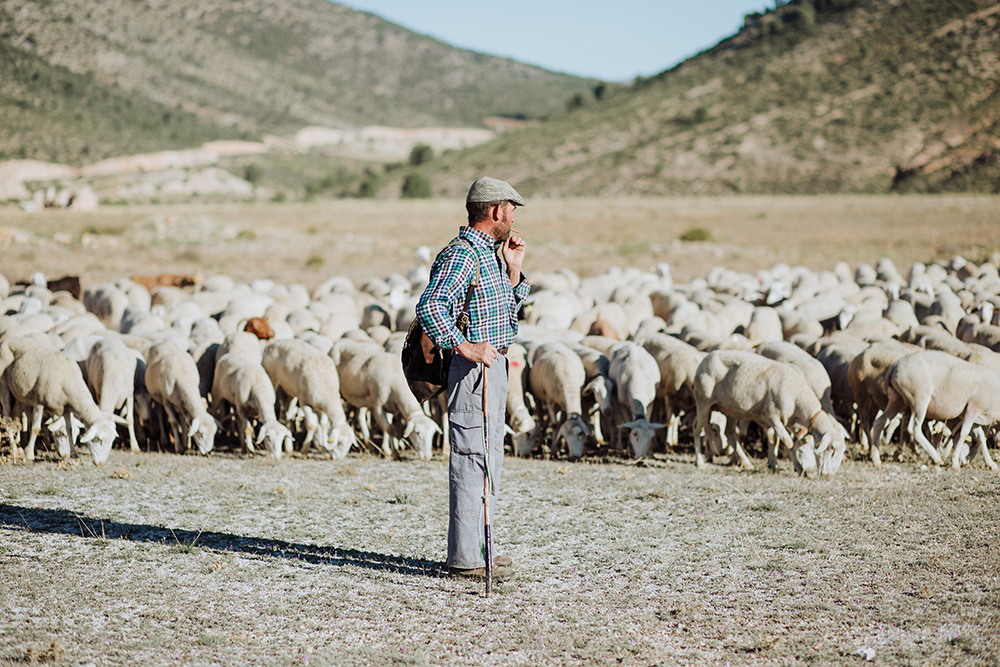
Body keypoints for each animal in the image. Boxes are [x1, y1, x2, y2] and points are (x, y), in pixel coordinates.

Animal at [692, 352, 848, 478]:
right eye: (832, 449)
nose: (828, 475)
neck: (798, 397)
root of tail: (706, 358)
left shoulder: (780, 420)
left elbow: (774, 440)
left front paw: (774, 465)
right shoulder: (772, 416)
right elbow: (788, 442)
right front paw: (799, 468)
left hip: (731, 409)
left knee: (729, 433)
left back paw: (746, 462)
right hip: (703, 401)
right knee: (697, 429)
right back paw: (700, 462)